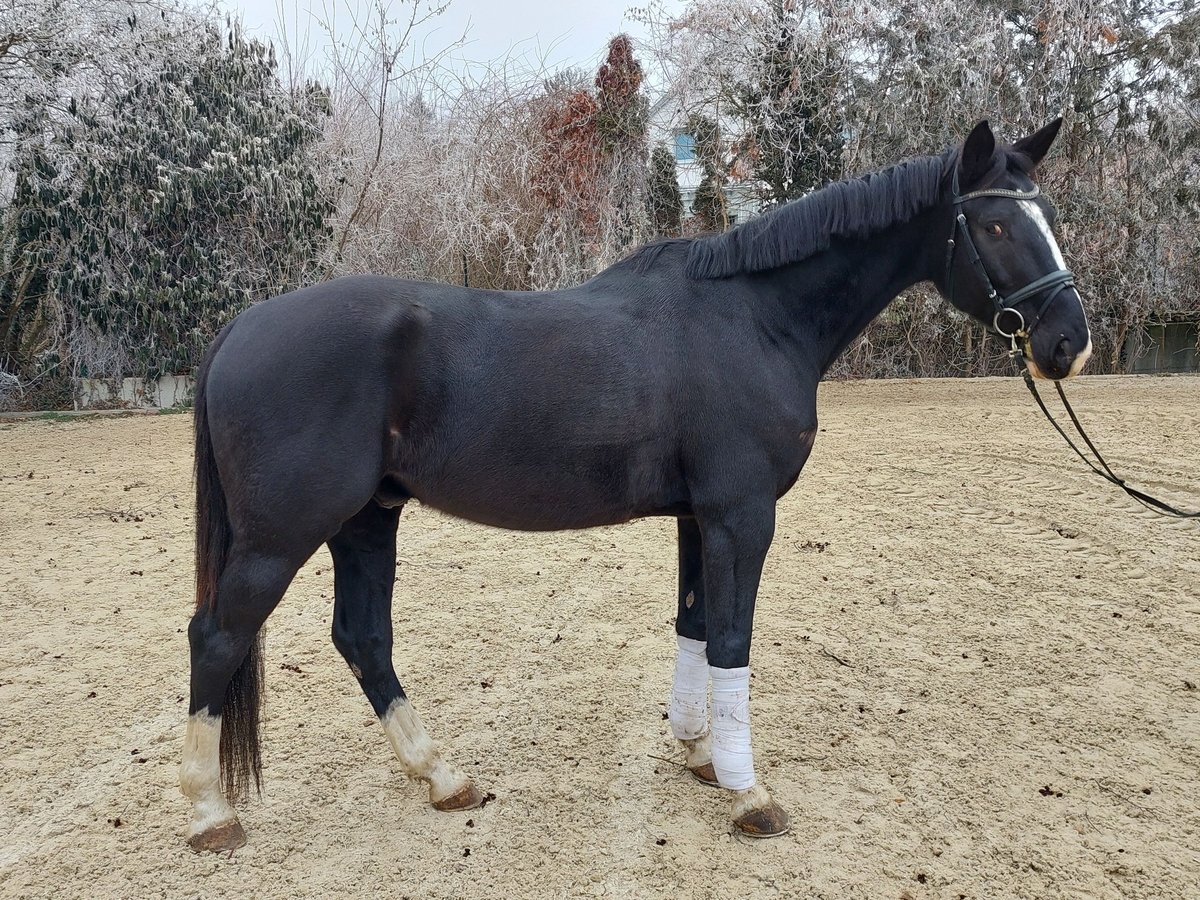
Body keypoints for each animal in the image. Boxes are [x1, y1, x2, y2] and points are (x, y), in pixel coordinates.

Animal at [182, 116, 1094, 849]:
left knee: (363, 639)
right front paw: (749, 794)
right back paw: (209, 813)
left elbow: (693, 625)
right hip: (282, 536)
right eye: (997, 222)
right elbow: (732, 639)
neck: (755, 317)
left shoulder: (699, 517)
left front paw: (700, 751)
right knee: (217, 638)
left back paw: (442, 778)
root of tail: (242, 326)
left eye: (1050, 217)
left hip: (367, 520)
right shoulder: (740, 515)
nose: (1068, 343)